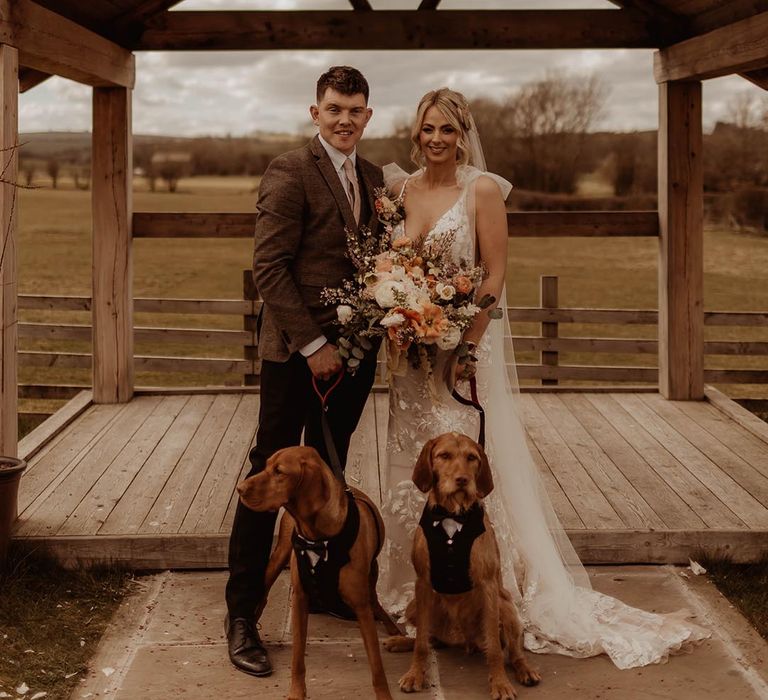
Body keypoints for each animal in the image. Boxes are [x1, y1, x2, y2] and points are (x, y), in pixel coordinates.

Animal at [237, 448, 400, 700]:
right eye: (265, 466)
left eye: (279, 472)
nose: (240, 489)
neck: (319, 538)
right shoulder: (299, 598)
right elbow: (297, 658)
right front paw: (296, 692)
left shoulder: (361, 605)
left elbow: (376, 665)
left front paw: (384, 695)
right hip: (279, 554)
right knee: (262, 595)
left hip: (372, 569)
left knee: (374, 599)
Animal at [384, 432, 540, 700]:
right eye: (444, 455)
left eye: (471, 457)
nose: (462, 480)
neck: (452, 515)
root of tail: (462, 641)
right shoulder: (422, 582)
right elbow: (421, 644)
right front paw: (415, 674)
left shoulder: (488, 585)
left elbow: (495, 650)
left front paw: (500, 683)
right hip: (414, 605)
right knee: (429, 639)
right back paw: (400, 641)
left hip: (506, 606)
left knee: (511, 651)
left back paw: (524, 669)